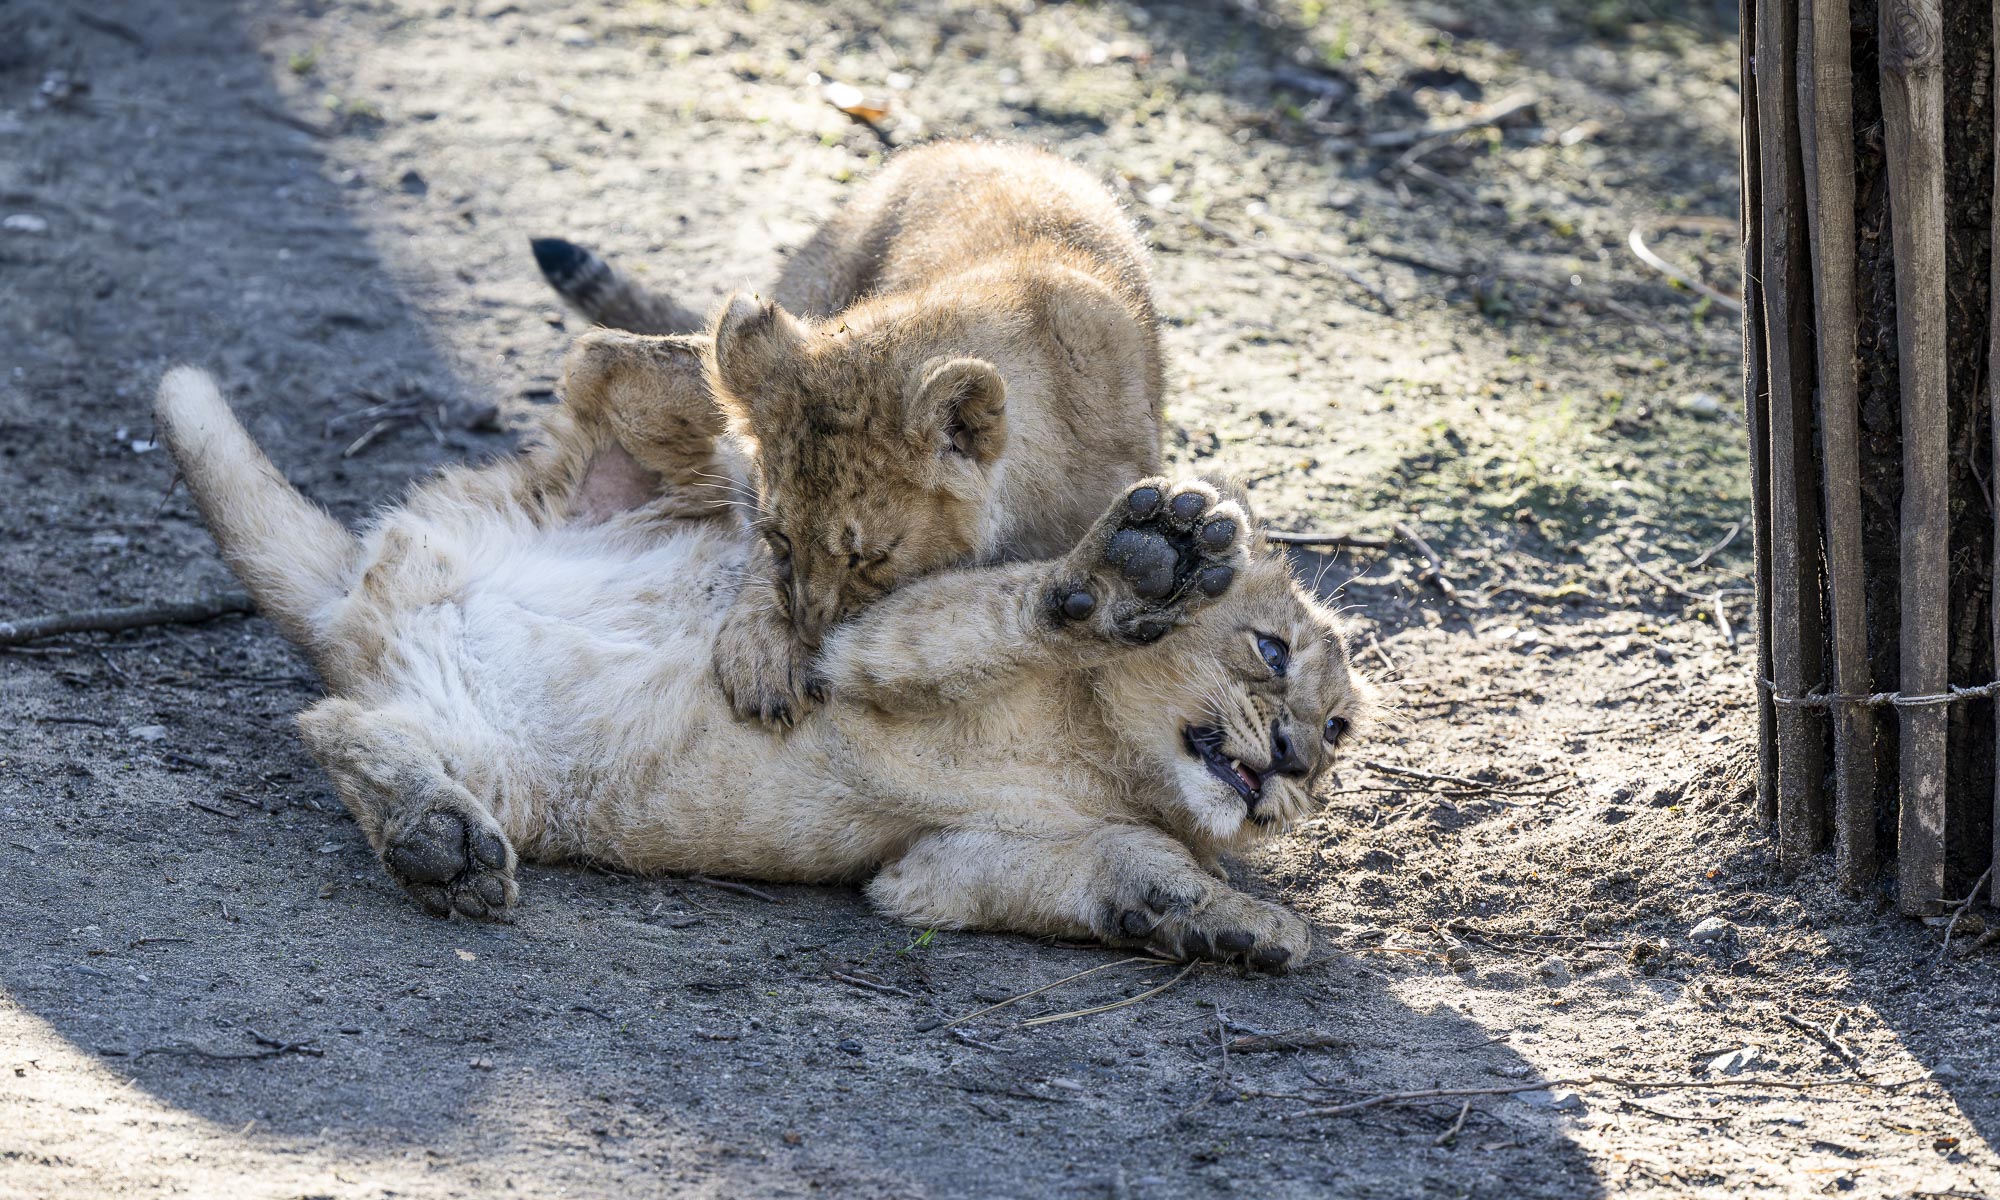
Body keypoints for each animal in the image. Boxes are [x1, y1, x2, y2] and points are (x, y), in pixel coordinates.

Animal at [152, 355, 1366, 970]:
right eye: (1271, 652)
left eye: (1342, 734)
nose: (1296, 763)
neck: (1098, 755)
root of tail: (367, 586)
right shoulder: (865, 653)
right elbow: (1021, 605)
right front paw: (1148, 567)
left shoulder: (935, 868)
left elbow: (1125, 871)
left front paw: (1234, 928)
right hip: (651, 480)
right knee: (628, 376)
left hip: (499, 765)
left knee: (336, 726)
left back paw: (437, 845)